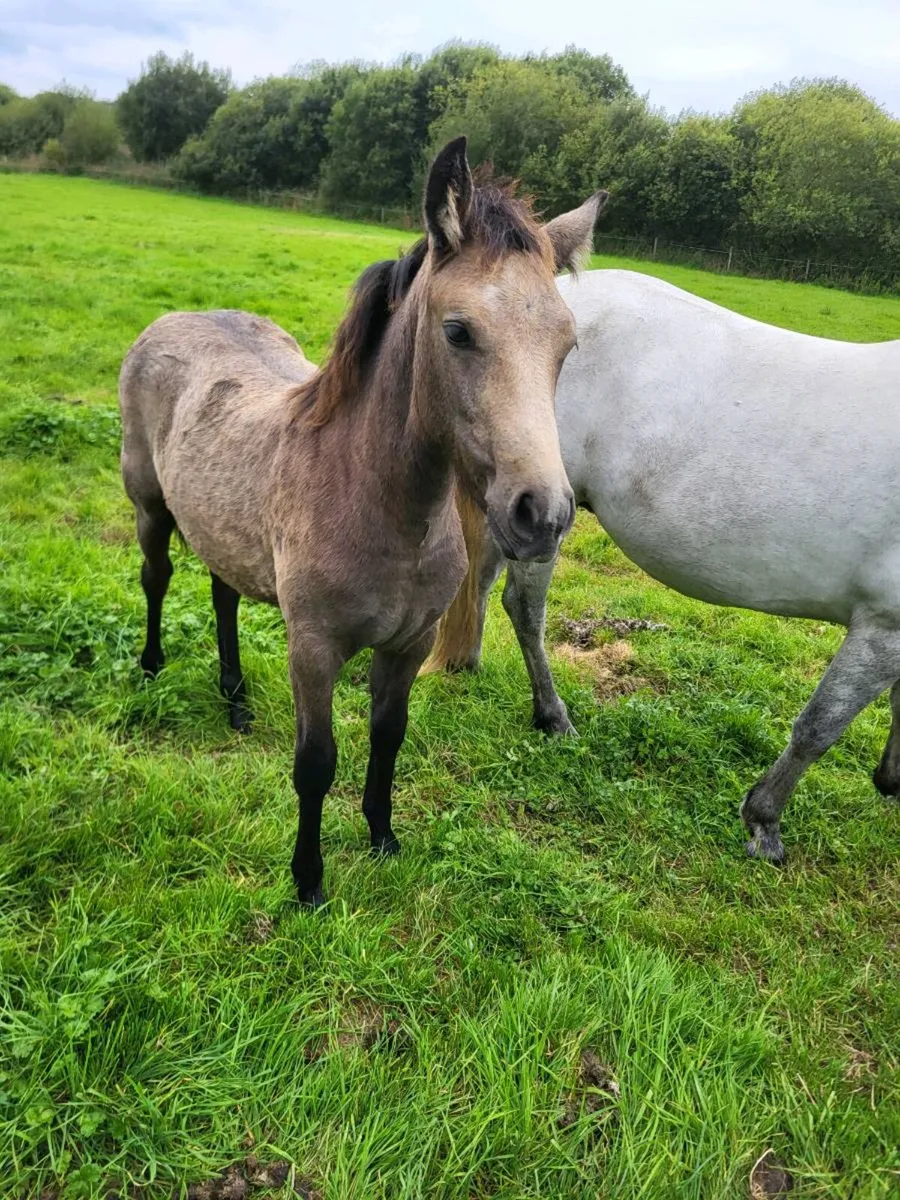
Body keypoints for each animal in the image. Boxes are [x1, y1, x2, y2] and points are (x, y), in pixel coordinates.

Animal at [119, 137, 606, 905]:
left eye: (566, 345)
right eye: (458, 331)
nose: (544, 514)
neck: (385, 510)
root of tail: (177, 318)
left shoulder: (408, 645)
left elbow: (388, 737)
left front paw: (382, 839)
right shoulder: (313, 649)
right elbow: (316, 762)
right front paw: (309, 883)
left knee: (223, 594)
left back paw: (235, 703)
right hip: (149, 506)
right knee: (157, 578)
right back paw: (149, 667)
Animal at [426, 267, 900, 865]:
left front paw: (891, 778)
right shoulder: (883, 628)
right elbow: (820, 727)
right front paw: (763, 822)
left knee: (483, 581)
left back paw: (469, 664)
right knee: (524, 609)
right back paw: (553, 716)